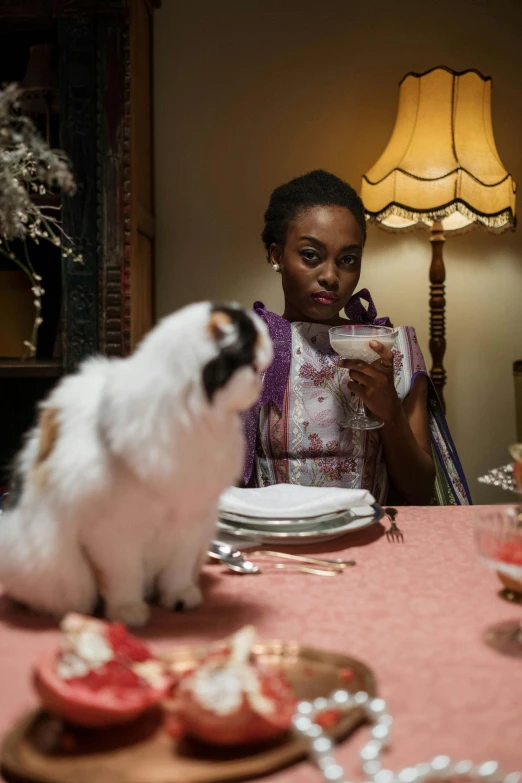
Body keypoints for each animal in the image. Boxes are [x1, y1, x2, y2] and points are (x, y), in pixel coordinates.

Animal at [0, 304, 270, 628]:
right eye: (252, 366)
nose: (260, 386)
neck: (192, 421)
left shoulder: (189, 523)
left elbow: (176, 573)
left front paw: (179, 599)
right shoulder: (112, 536)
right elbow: (123, 580)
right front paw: (128, 613)